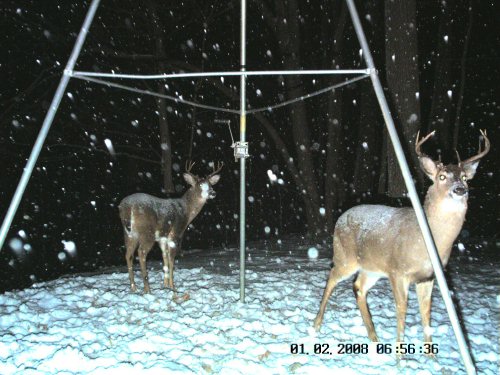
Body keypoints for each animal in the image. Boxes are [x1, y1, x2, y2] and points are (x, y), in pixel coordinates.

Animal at [118, 161, 222, 294]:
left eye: (210, 184)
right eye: (200, 185)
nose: (213, 193)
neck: (186, 211)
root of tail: (127, 207)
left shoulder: (163, 238)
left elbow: (165, 258)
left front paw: (166, 285)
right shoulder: (175, 233)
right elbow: (172, 260)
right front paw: (173, 287)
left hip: (129, 233)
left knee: (128, 254)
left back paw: (133, 287)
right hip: (147, 233)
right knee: (141, 253)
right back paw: (147, 289)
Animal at [314, 131, 490, 350]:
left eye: (465, 178)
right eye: (441, 176)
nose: (460, 189)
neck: (428, 242)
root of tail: (341, 216)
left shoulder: (428, 277)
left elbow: (426, 312)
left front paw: (430, 353)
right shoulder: (397, 271)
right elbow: (402, 309)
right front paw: (400, 354)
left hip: (371, 267)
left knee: (358, 287)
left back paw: (374, 337)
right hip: (345, 256)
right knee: (331, 277)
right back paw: (316, 325)